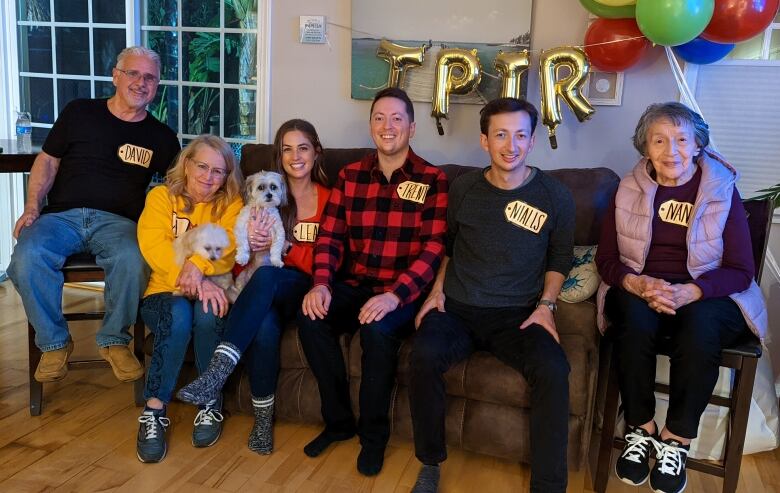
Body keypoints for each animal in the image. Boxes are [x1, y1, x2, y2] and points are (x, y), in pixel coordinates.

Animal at [232, 169, 292, 300]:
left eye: (273, 187)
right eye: (261, 187)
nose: (269, 195)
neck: (263, 210)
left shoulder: (278, 231)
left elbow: (276, 248)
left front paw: (276, 261)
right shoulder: (242, 226)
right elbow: (243, 244)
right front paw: (242, 257)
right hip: (241, 280)